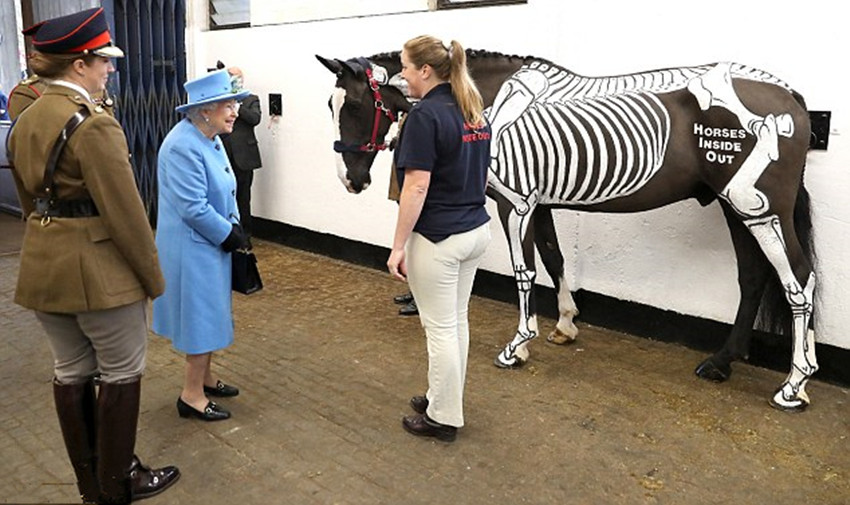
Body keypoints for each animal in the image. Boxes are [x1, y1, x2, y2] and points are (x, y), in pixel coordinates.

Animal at [316, 49, 816, 410]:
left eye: (355, 104)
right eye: (330, 105)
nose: (350, 180)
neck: (482, 99)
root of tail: (790, 95)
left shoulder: (515, 202)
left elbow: (525, 271)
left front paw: (519, 346)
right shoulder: (541, 203)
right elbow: (554, 257)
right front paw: (566, 323)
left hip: (754, 204)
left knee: (798, 277)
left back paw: (794, 385)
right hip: (734, 207)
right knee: (759, 277)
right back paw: (728, 362)